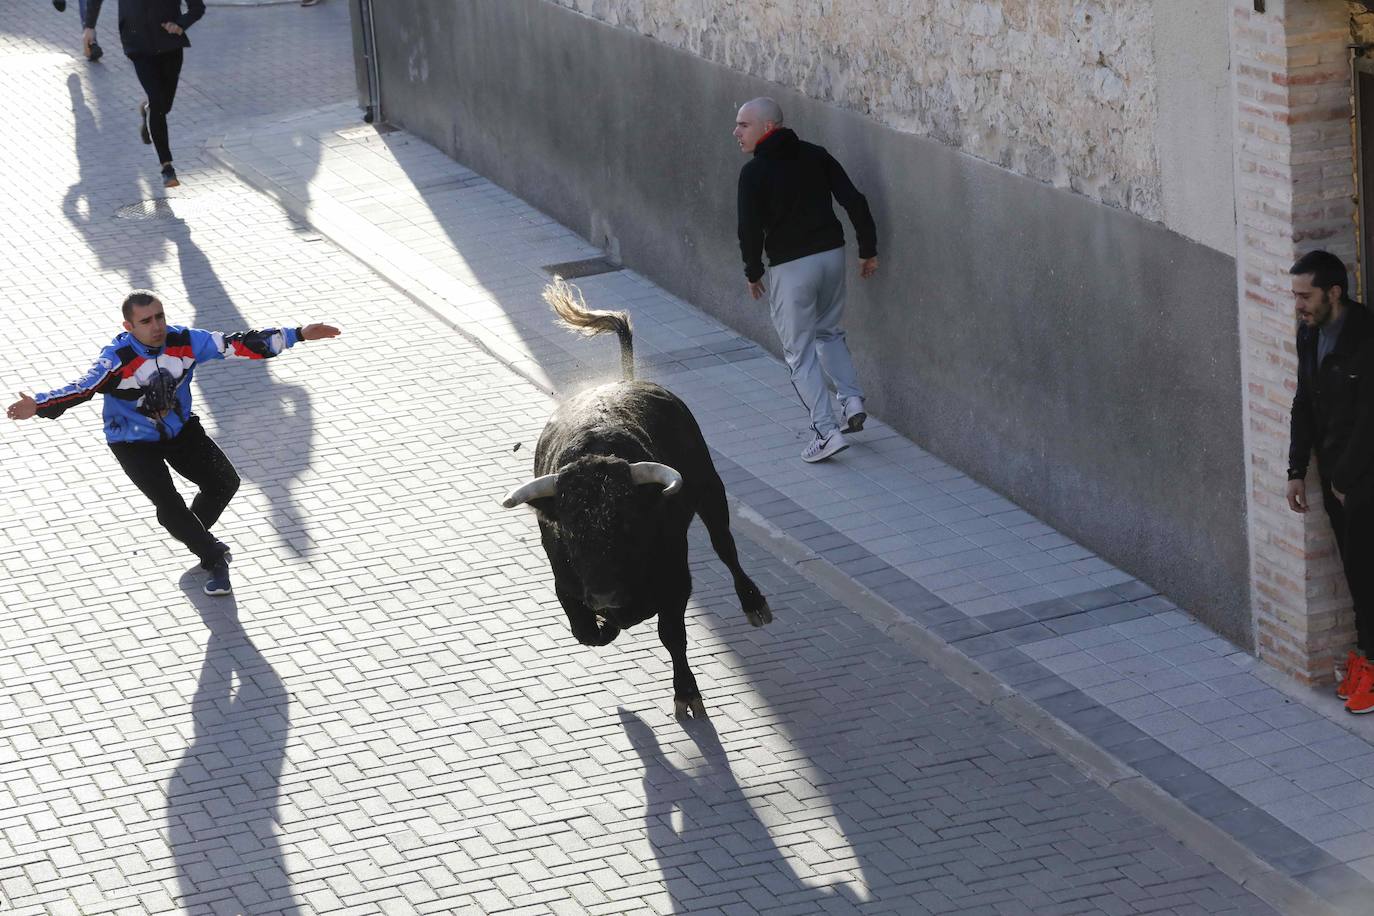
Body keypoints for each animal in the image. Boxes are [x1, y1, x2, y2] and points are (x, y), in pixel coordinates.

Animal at [508, 280, 774, 714]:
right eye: (569, 531)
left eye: (629, 524)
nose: (604, 595)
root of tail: (627, 380)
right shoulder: (566, 583)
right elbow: (586, 631)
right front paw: (608, 624)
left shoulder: (676, 581)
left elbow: (673, 635)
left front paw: (686, 692)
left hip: (710, 489)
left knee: (725, 547)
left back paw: (754, 604)